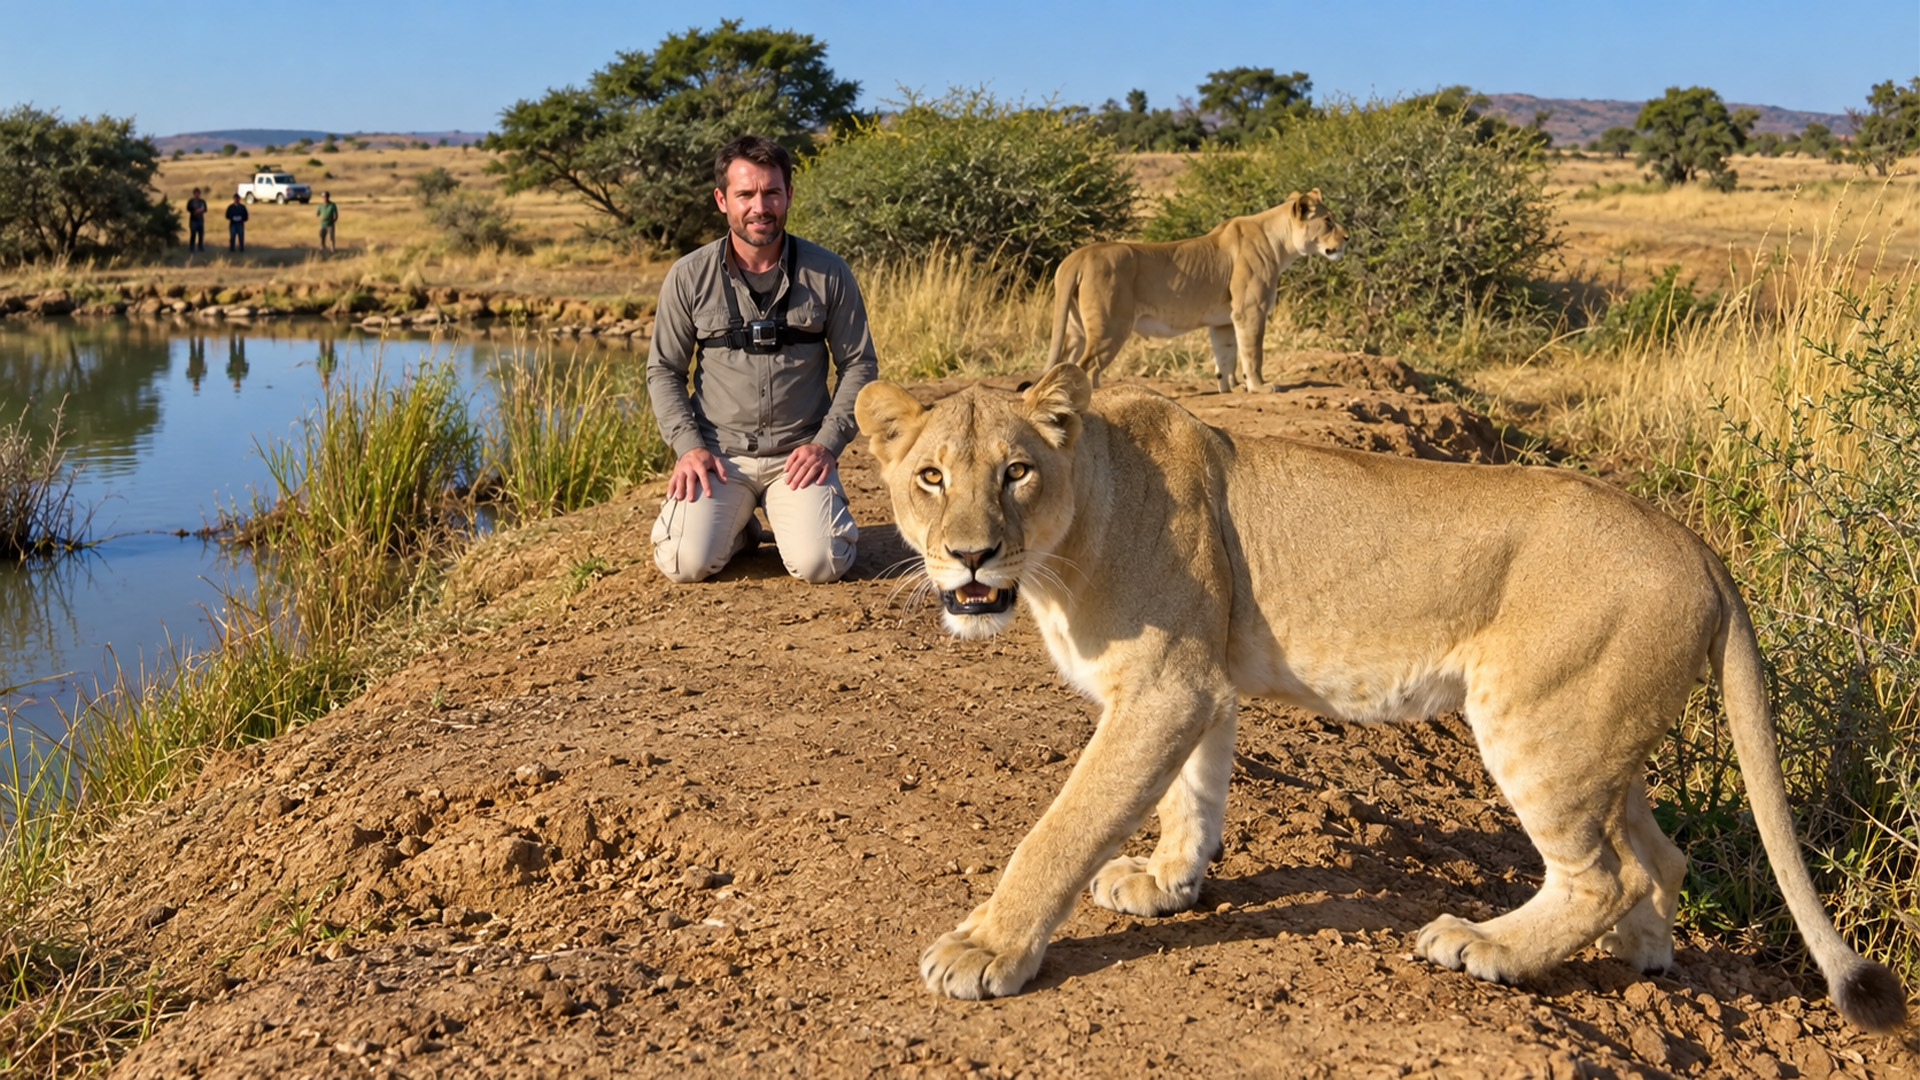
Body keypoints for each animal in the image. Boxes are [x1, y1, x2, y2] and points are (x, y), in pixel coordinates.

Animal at [853, 364, 1908, 1032]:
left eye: (1016, 472)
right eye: (931, 476)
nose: (970, 555)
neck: (1064, 550)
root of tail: (1696, 542)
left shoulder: (1163, 688)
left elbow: (1065, 825)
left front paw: (986, 947)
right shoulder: (1202, 684)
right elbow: (1191, 800)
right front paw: (1168, 884)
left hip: (1536, 721)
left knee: (1603, 874)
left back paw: (1486, 947)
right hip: (1598, 729)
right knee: (1660, 858)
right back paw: (1636, 954)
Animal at [1046, 190, 1346, 393]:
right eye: (1328, 221)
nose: (1347, 238)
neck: (1280, 243)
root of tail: (1077, 257)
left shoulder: (1224, 320)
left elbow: (1227, 355)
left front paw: (1231, 386)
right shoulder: (1250, 310)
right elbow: (1253, 352)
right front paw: (1260, 387)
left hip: (1077, 328)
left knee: (1065, 363)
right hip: (1110, 326)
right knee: (1086, 366)